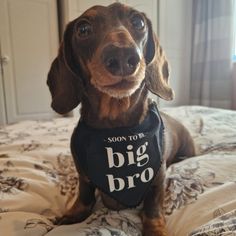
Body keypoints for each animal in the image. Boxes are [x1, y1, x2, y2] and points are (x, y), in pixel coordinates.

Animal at [46, 2, 195, 235]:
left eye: (138, 22)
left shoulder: (157, 177)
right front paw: (71, 215)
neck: (116, 128)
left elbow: (153, 206)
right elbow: (84, 195)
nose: (123, 56)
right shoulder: (83, 176)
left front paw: (155, 228)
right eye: (83, 29)